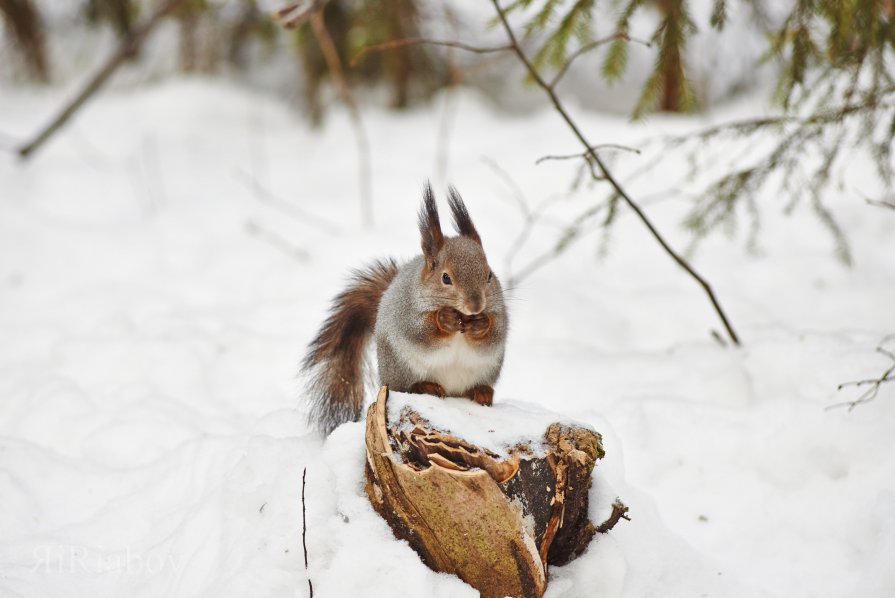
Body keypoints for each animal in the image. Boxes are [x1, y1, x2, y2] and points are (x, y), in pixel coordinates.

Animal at [302, 184, 508, 436]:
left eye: (489, 275)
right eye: (446, 278)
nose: (475, 306)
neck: (462, 315)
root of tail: (451, 391)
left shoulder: (499, 311)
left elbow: (496, 331)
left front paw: (480, 324)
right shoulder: (406, 311)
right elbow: (421, 332)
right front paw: (444, 319)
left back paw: (481, 392)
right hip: (400, 367)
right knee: (408, 386)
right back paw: (426, 385)